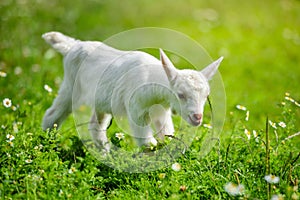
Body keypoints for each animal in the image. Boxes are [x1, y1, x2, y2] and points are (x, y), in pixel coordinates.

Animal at [41, 31, 221, 151]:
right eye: (181, 95)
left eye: (206, 96)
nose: (197, 118)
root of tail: (73, 45)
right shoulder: (136, 109)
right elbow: (147, 143)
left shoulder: (161, 110)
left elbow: (166, 134)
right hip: (71, 86)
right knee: (52, 114)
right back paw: (46, 145)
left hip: (101, 101)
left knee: (95, 125)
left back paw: (105, 153)